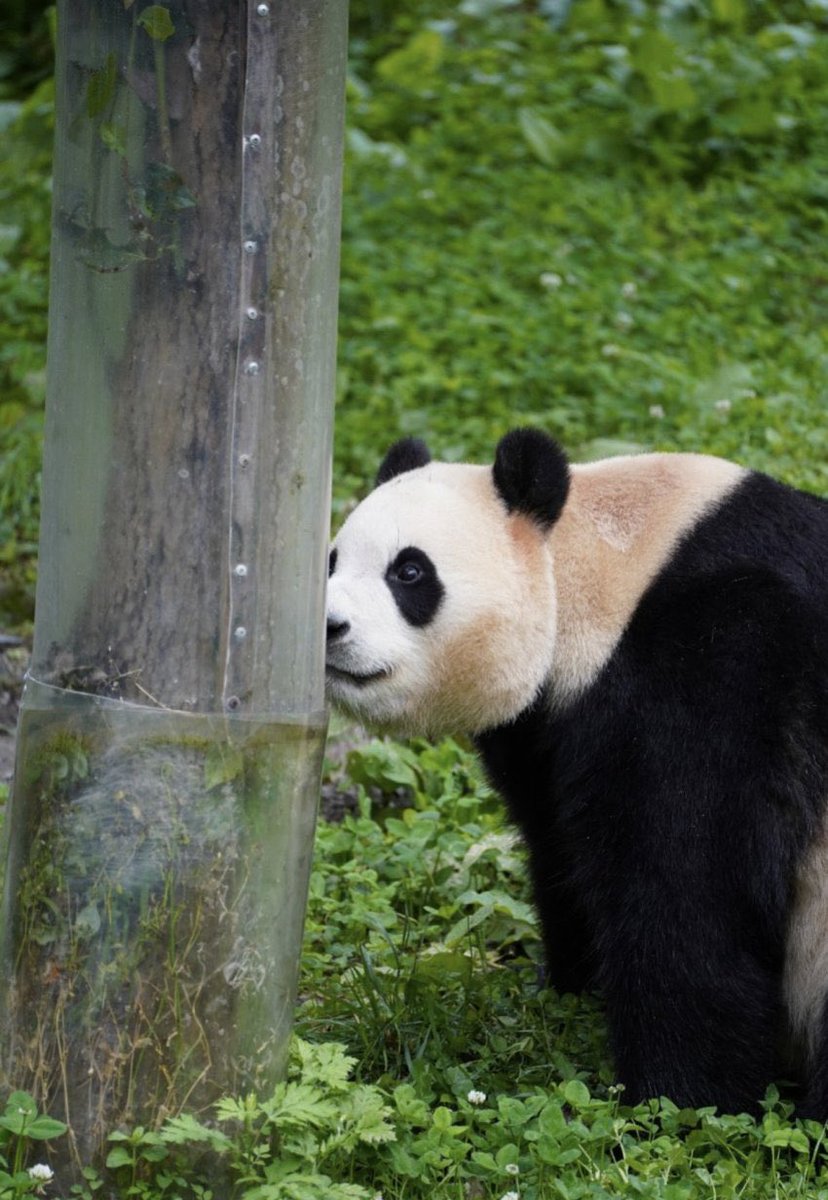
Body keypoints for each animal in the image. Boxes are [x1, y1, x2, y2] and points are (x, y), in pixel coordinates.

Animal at [325, 428, 828, 1118]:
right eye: (331, 561)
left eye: (409, 571)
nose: (330, 627)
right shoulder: (547, 729)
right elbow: (560, 847)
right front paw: (568, 986)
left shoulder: (721, 664)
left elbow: (689, 880)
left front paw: (680, 1101)